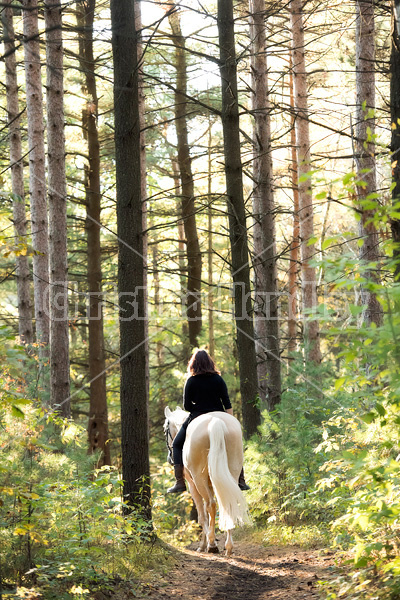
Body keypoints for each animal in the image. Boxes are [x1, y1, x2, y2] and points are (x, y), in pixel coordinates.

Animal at [164, 406, 248, 556]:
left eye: (164, 430)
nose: (169, 458)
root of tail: (215, 422)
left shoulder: (193, 485)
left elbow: (202, 515)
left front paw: (204, 544)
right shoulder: (213, 484)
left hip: (199, 479)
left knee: (210, 505)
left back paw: (212, 544)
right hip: (230, 472)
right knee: (227, 504)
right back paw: (229, 547)